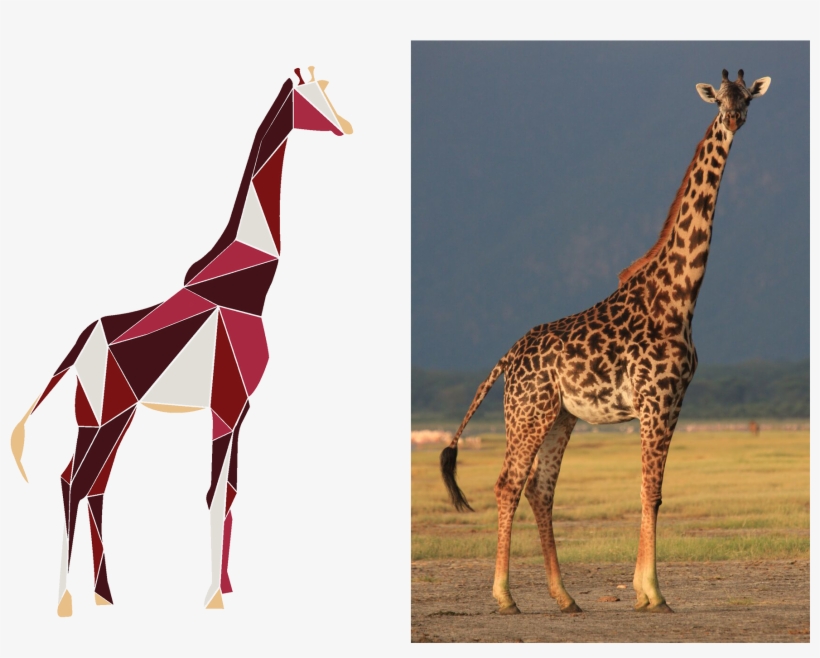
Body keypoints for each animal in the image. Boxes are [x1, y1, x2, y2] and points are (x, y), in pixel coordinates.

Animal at [10, 67, 352, 617]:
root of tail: (78, 346)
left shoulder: (242, 410)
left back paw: (105, 595)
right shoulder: (226, 405)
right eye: (311, 95)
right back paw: (65, 600)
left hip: (102, 416)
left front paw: (227, 587)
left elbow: (232, 491)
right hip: (108, 412)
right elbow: (213, 493)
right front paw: (211, 597)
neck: (246, 286)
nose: (346, 126)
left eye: (328, 90)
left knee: (86, 483)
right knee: (75, 483)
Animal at [441, 69, 770, 614]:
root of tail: (506, 357)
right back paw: (505, 597)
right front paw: (653, 593)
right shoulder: (657, 400)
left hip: (560, 415)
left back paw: (564, 597)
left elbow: (649, 491)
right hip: (528, 412)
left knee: (540, 489)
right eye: (719, 97)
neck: (680, 296)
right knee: (508, 483)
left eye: (747, 97)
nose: (733, 118)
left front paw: (641, 590)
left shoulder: (673, 402)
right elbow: (651, 491)